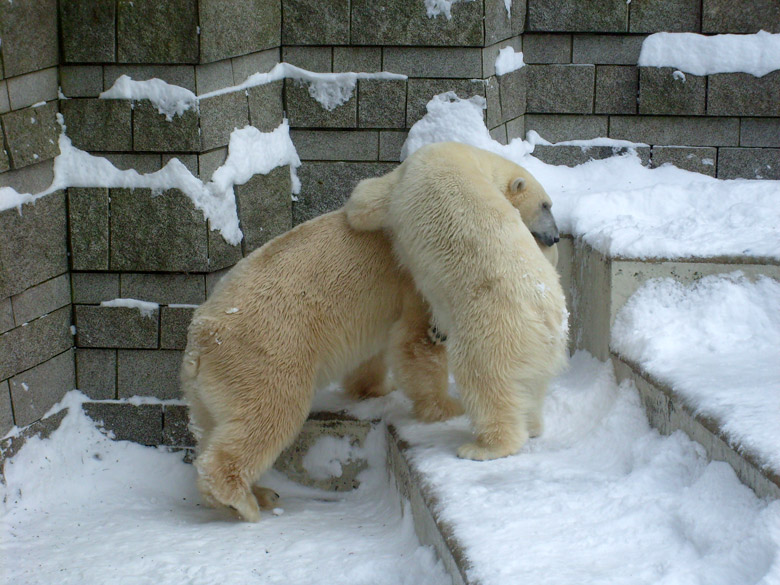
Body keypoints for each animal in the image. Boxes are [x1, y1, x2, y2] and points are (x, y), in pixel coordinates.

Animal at [346, 141, 568, 460]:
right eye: (546, 205)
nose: (556, 237)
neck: (473, 158)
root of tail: (546, 317)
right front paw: (436, 330)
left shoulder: (409, 175)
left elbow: (368, 198)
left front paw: (354, 205)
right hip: (539, 342)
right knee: (532, 383)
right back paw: (533, 425)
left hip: (494, 326)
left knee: (484, 379)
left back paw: (484, 446)